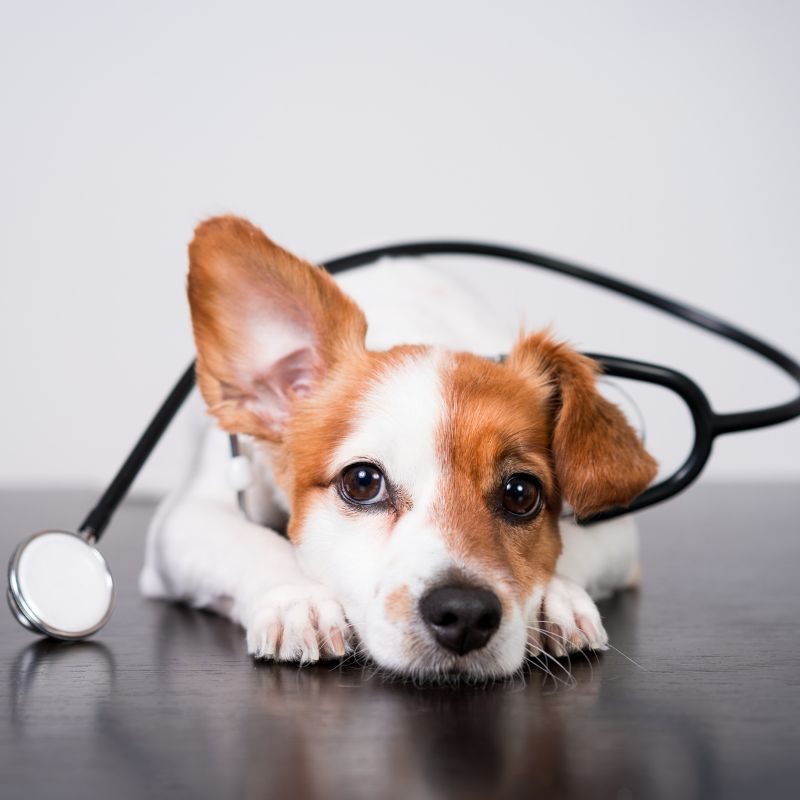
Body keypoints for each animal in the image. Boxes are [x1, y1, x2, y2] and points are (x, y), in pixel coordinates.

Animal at [142, 216, 656, 680]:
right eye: (362, 482)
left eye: (521, 493)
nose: (464, 613)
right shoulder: (186, 519)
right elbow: (252, 542)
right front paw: (298, 599)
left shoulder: (616, 532)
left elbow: (575, 546)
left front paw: (555, 598)